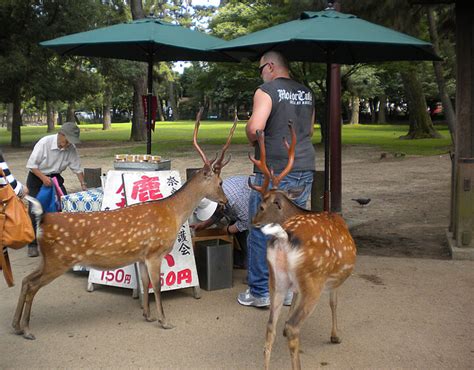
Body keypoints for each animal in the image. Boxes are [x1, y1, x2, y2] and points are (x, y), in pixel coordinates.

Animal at [12, 108, 237, 340]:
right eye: (220, 182)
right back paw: (27, 329)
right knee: (32, 285)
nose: (225, 201)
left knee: (26, 280)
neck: (173, 213)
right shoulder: (155, 251)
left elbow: (145, 283)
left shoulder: (142, 255)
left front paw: (147, 315)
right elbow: (157, 286)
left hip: (48, 259)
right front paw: (164, 321)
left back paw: (16, 326)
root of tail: (44, 219)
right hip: (58, 259)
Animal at [248, 123, 356, 370]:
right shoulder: (333, 280)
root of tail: (283, 236)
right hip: (313, 279)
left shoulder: (293, 286)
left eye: (263, 206)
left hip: (276, 279)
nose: (253, 222)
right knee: (292, 327)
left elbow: (291, 305)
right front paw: (336, 336)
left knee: (270, 327)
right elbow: (334, 302)